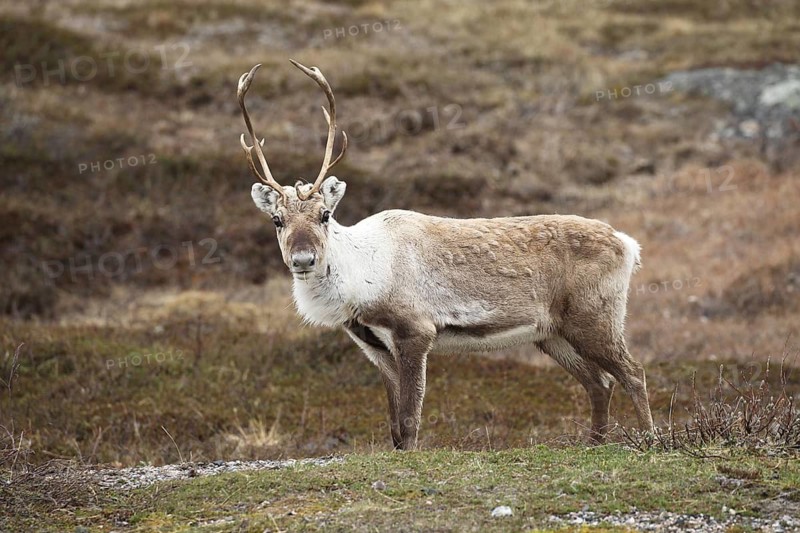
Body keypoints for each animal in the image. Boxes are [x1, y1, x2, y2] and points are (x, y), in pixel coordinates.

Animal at [238, 60, 655, 451]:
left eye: (325, 214)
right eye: (277, 219)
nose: (303, 259)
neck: (361, 278)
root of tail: (627, 243)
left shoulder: (416, 331)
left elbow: (410, 420)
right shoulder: (374, 346)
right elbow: (393, 425)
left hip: (595, 319)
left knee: (633, 372)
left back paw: (651, 441)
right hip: (553, 334)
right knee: (600, 383)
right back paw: (594, 443)